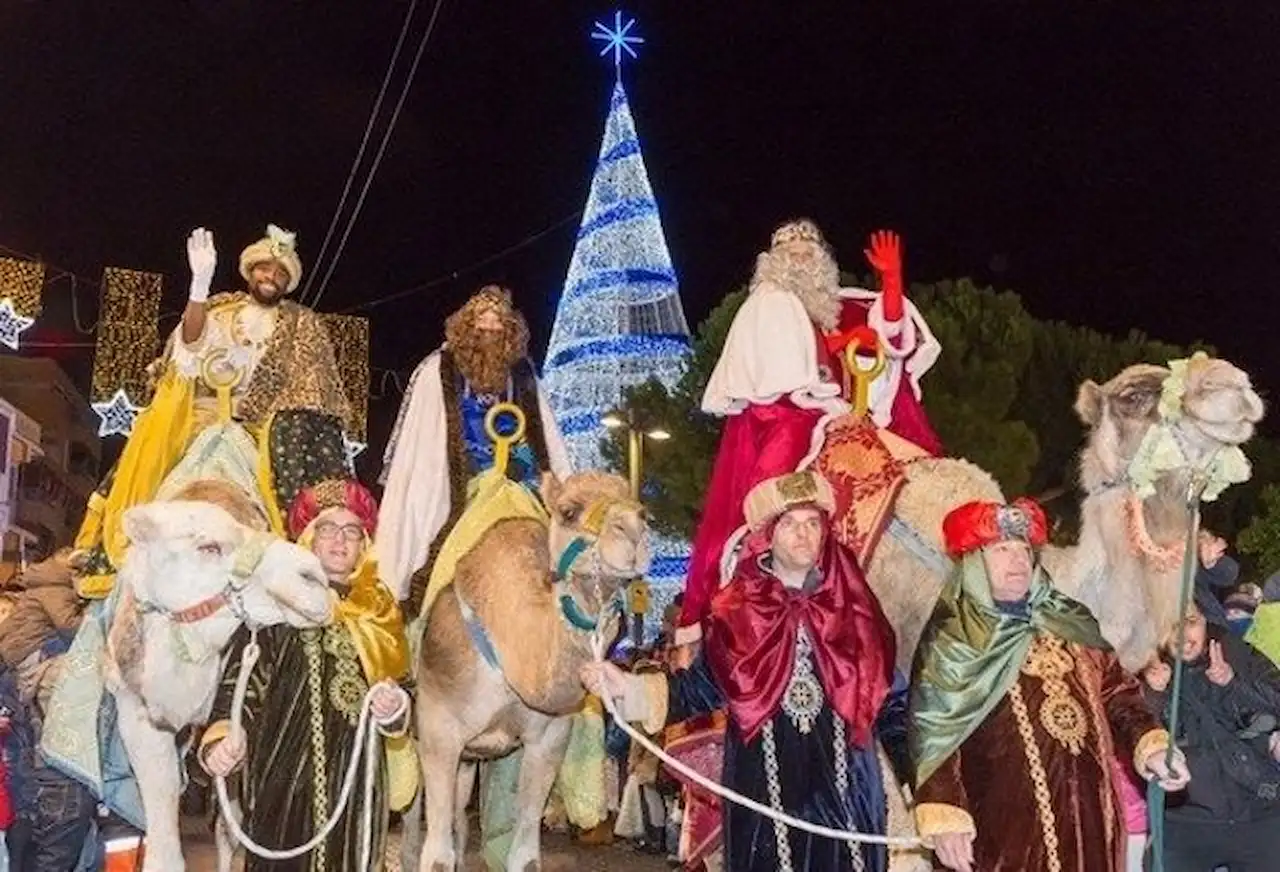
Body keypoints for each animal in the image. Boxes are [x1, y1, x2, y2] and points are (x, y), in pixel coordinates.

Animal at [412, 468, 645, 870]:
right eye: (568, 511)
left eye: (642, 509)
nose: (632, 530)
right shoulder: (439, 732)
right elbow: (437, 856)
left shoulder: (548, 739)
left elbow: (525, 855)